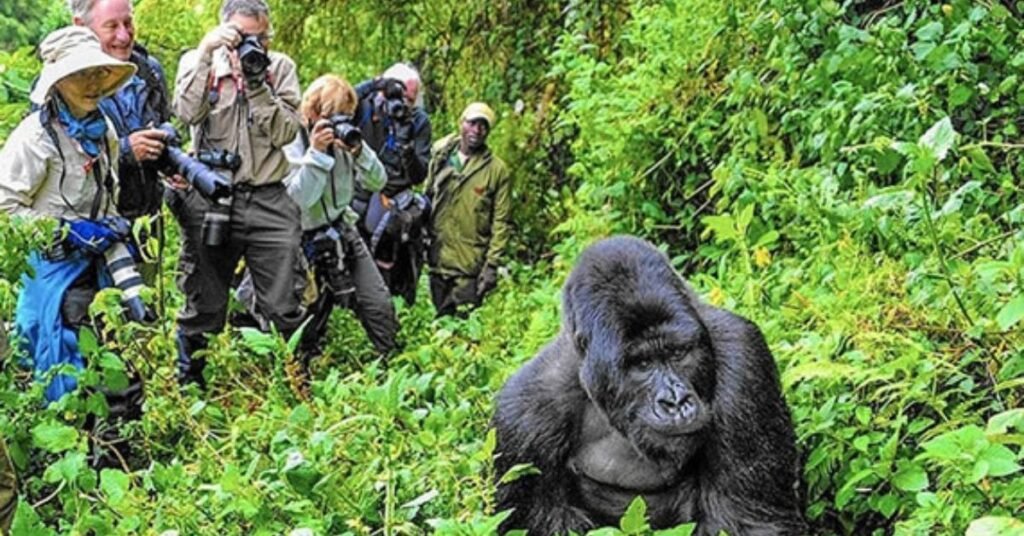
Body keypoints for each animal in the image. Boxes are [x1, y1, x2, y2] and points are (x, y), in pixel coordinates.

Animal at [491, 236, 802, 532]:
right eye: (642, 364)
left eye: (678, 353)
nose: (675, 402)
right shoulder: (524, 418)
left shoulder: (743, 356)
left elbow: (746, 520)